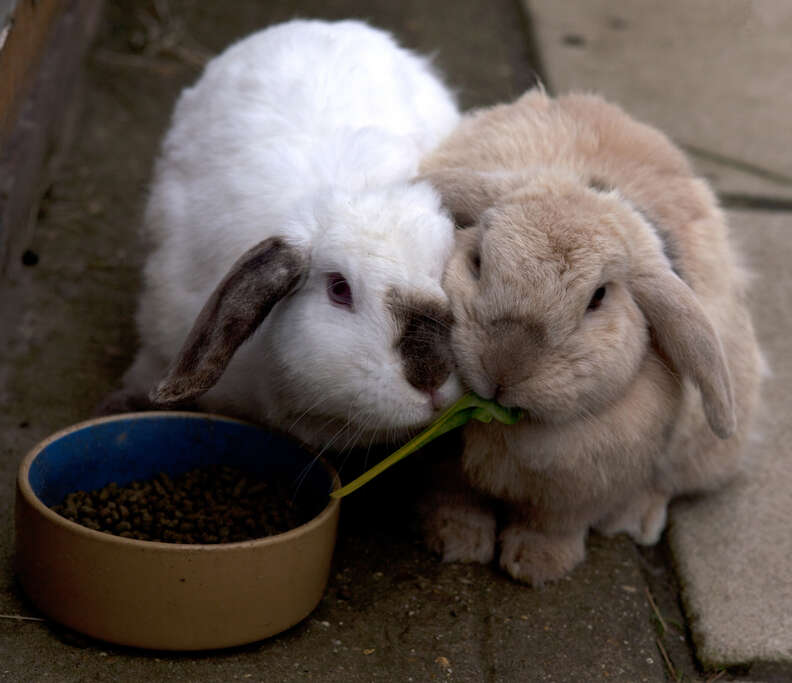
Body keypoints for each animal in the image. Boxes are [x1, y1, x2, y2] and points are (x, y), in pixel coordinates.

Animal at [417, 88, 762, 585]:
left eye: (598, 298)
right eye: (477, 262)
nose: (504, 368)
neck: (513, 424)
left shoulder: (582, 490)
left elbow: (554, 525)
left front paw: (536, 566)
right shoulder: (447, 472)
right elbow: (455, 500)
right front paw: (457, 543)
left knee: (667, 485)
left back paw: (635, 521)